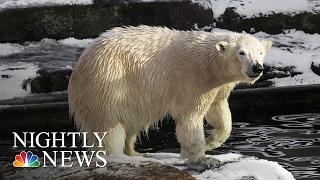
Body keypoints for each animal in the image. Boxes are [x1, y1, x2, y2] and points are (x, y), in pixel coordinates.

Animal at [69, 25, 272, 170]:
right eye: (242, 52)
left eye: (260, 52)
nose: (257, 67)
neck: (210, 64)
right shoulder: (192, 80)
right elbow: (190, 118)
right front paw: (204, 160)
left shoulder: (217, 86)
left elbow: (218, 112)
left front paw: (210, 142)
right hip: (107, 87)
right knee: (110, 130)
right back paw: (118, 157)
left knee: (131, 124)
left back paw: (136, 153)